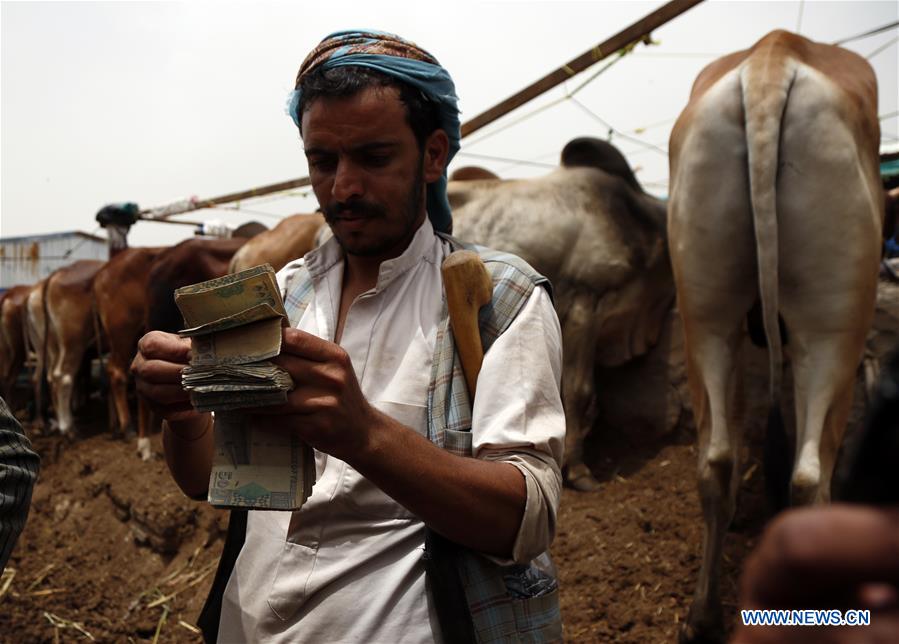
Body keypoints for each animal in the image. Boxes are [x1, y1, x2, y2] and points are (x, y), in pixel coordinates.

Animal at [672, 31, 884, 644]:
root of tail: (773, 55)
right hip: (832, 327)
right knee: (811, 474)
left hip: (706, 316)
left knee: (716, 458)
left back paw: (703, 617)